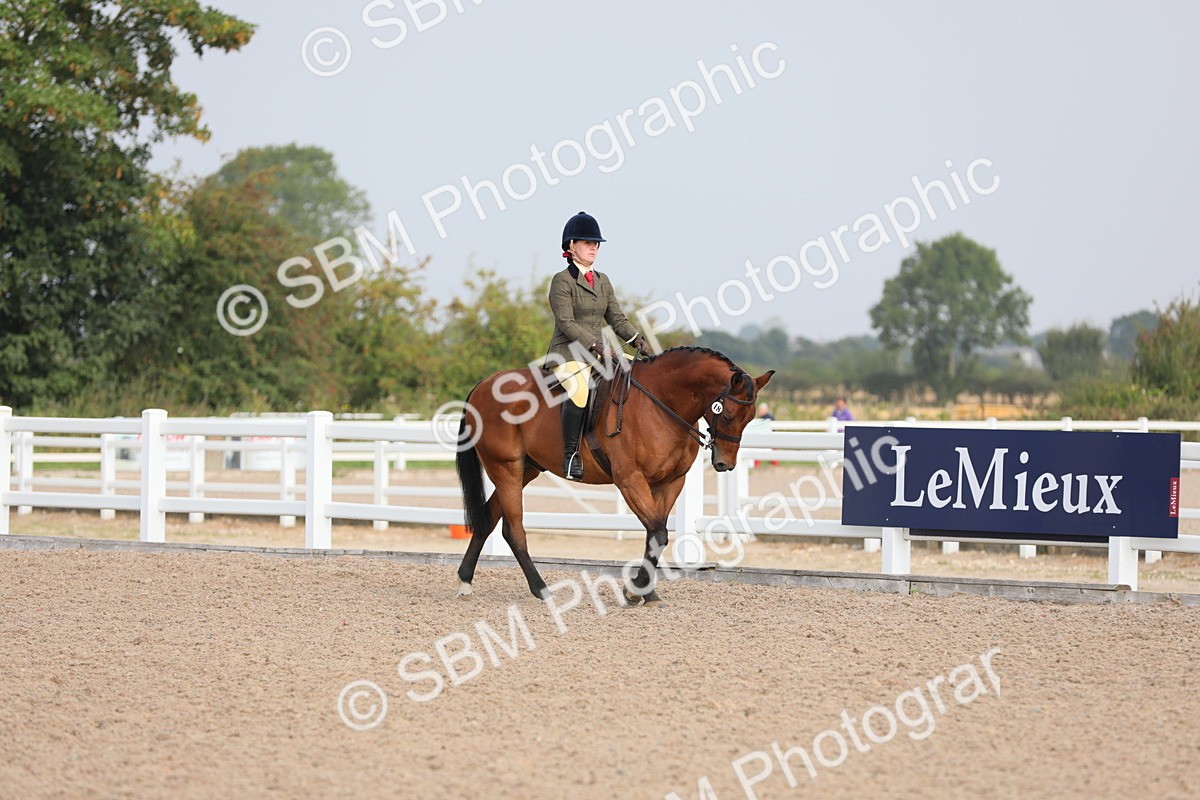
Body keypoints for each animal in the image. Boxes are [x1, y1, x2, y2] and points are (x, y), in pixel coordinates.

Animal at [454, 346, 774, 605]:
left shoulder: (670, 482)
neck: (661, 403)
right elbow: (658, 532)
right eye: (728, 414)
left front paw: (646, 593)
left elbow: (654, 536)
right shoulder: (630, 479)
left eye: (750, 418)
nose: (724, 464)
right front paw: (634, 590)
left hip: (525, 469)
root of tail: (484, 384)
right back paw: (542, 589)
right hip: (505, 467)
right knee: (514, 530)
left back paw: (465, 581)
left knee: (489, 520)